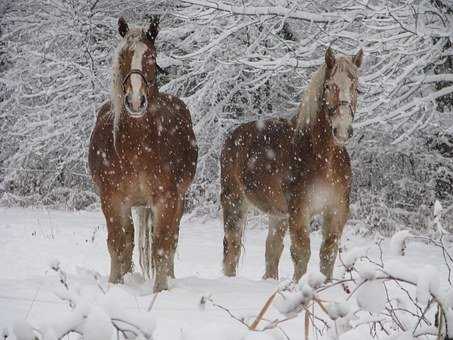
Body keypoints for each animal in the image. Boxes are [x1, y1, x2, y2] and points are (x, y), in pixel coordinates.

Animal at [87, 16, 197, 292]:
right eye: (124, 55)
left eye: (151, 56)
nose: (135, 101)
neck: (137, 147)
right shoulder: (112, 200)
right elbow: (118, 244)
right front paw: (116, 285)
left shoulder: (166, 199)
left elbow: (162, 246)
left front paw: (161, 290)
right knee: (129, 241)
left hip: (178, 200)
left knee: (172, 239)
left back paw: (170, 277)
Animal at [221, 47, 362, 282]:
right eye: (328, 86)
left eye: (356, 87)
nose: (342, 130)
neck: (324, 159)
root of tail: (233, 135)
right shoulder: (299, 210)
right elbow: (301, 252)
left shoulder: (337, 210)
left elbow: (328, 253)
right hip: (234, 202)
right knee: (231, 246)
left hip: (277, 214)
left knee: (272, 250)